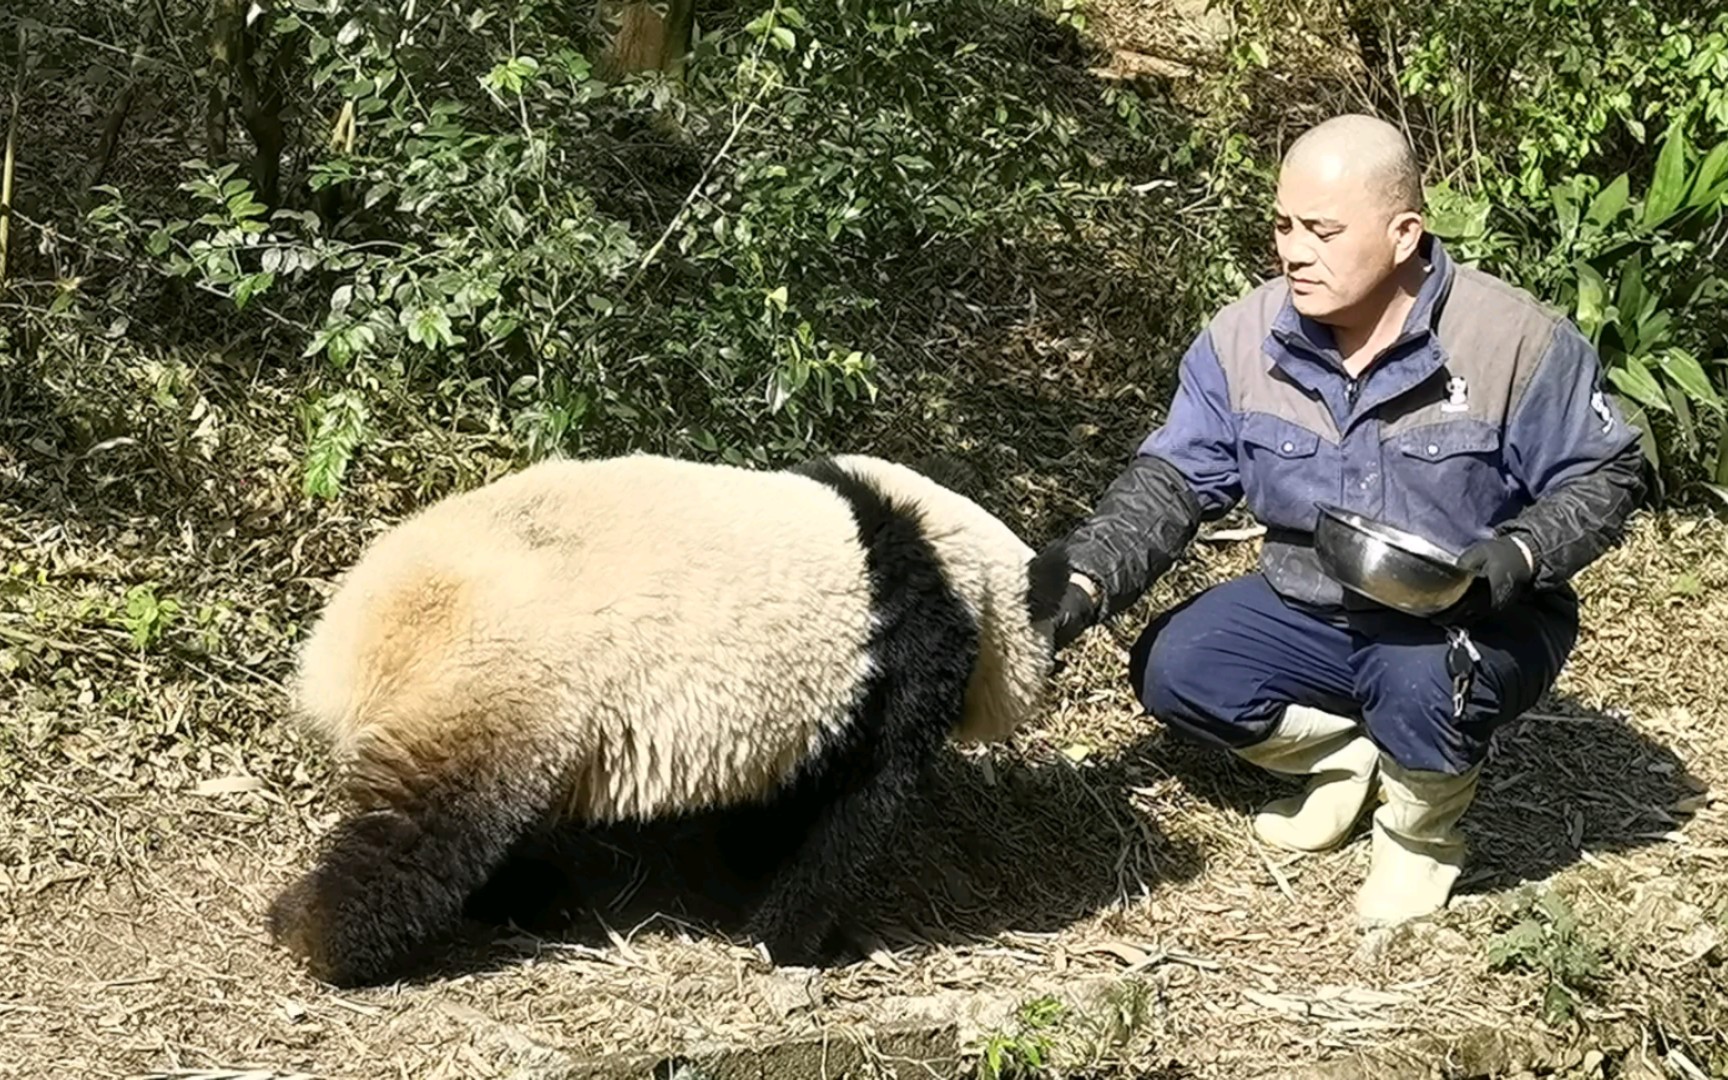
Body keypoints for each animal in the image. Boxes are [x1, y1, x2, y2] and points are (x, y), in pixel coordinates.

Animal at [262, 445, 1071, 988]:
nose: (1054, 678)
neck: (946, 555)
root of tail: (352, 646)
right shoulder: (898, 658)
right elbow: (848, 811)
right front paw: (798, 941)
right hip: (508, 675)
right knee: (431, 829)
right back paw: (316, 935)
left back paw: (527, 897)